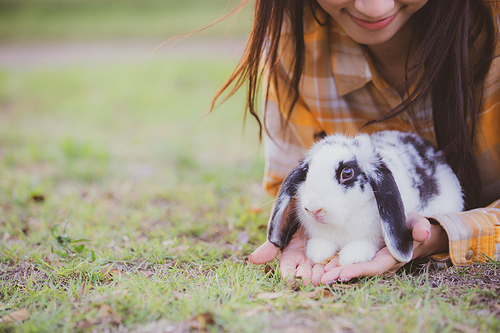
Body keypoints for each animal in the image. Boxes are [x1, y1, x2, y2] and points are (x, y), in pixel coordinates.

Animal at [268, 130, 462, 264]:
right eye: (307, 171)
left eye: (347, 173)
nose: (313, 209)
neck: (343, 221)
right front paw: (318, 252)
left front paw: (352, 257)